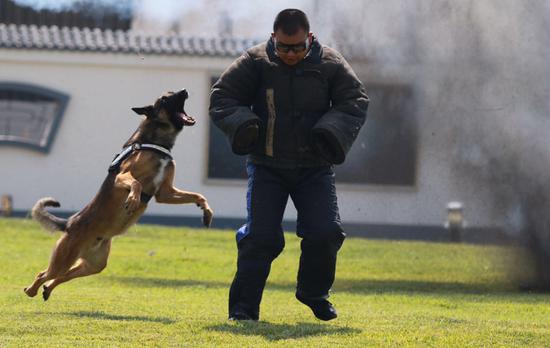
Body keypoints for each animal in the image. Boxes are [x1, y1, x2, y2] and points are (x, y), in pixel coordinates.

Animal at [23, 88, 213, 300]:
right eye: (165, 98)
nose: (185, 91)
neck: (154, 142)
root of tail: (69, 224)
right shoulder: (122, 176)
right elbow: (136, 183)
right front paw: (132, 200)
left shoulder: (165, 193)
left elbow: (198, 195)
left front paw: (206, 212)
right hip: (65, 258)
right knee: (45, 273)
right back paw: (31, 290)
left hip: (94, 265)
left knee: (62, 276)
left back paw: (47, 289)